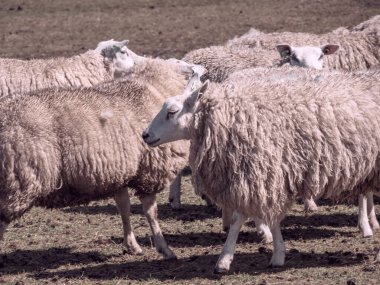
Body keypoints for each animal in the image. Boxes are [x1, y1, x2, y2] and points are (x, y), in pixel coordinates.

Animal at [0, 56, 196, 258]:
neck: (152, 88)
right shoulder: (149, 172)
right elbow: (151, 213)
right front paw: (164, 248)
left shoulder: (120, 172)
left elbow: (124, 208)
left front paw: (131, 245)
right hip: (18, 182)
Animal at [142, 70, 380, 272]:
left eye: (172, 112)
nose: (145, 135)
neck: (229, 116)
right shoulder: (268, 175)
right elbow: (270, 219)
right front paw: (278, 255)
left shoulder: (259, 174)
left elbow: (239, 219)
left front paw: (224, 260)